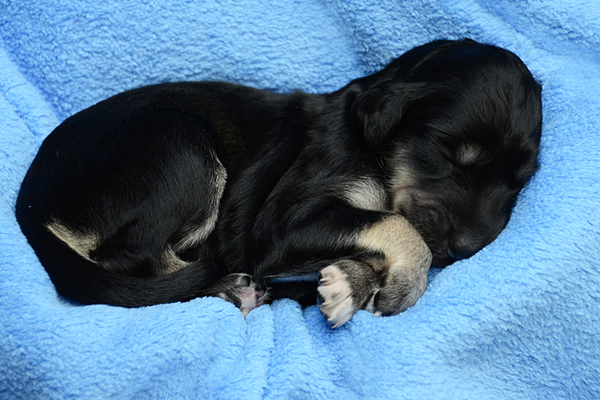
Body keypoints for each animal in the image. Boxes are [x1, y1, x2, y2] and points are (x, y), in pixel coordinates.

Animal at [15, 39, 544, 328]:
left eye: (518, 182)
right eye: (448, 155)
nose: (469, 248)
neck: (372, 146)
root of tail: (29, 202)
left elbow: (379, 228)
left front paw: (349, 285)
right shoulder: (281, 225)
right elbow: (396, 224)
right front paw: (403, 286)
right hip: (180, 141)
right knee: (135, 257)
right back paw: (231, 288)